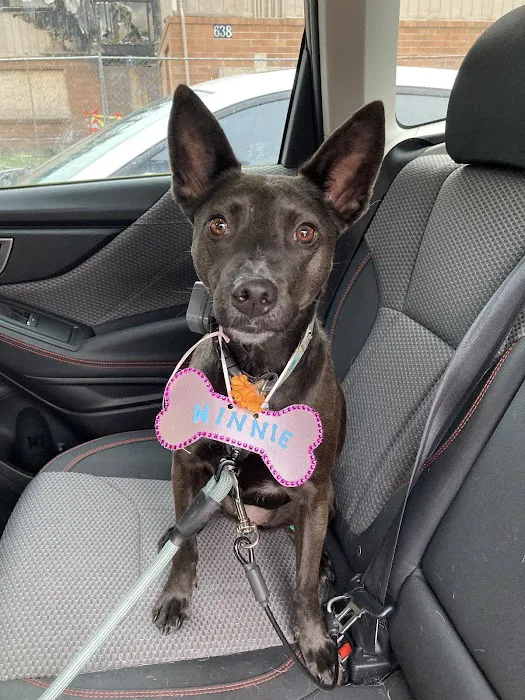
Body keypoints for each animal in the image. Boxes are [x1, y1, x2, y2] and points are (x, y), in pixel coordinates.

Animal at [152, 84, 385, 684]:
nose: (254, 293)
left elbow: (300, 586)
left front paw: (315, 641)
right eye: (218, 224)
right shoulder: (186, 463)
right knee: (188, 528)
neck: (258, 374)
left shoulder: (315, 491)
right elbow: (186, 548)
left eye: (306, 232)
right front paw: (175, 593)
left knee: (306, 548)